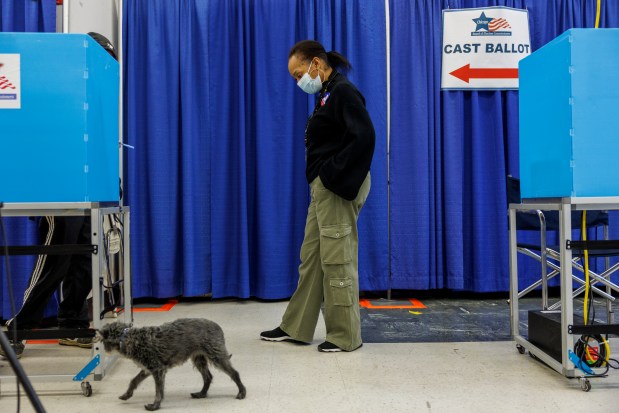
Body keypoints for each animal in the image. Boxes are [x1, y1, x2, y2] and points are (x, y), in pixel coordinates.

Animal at [98, 318, 246, 408]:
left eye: (104, 341)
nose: (104, 349)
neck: (128, 338)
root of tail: (217, 326)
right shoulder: (148, 369)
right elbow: (134, 381)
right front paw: (127, 395)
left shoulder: (157, 369)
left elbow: (159, 390)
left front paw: (155, 405)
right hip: (199, 359)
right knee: (208, 377)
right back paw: (201, 394)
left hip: (216, 357)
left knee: (234, 373)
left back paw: (242, 392)